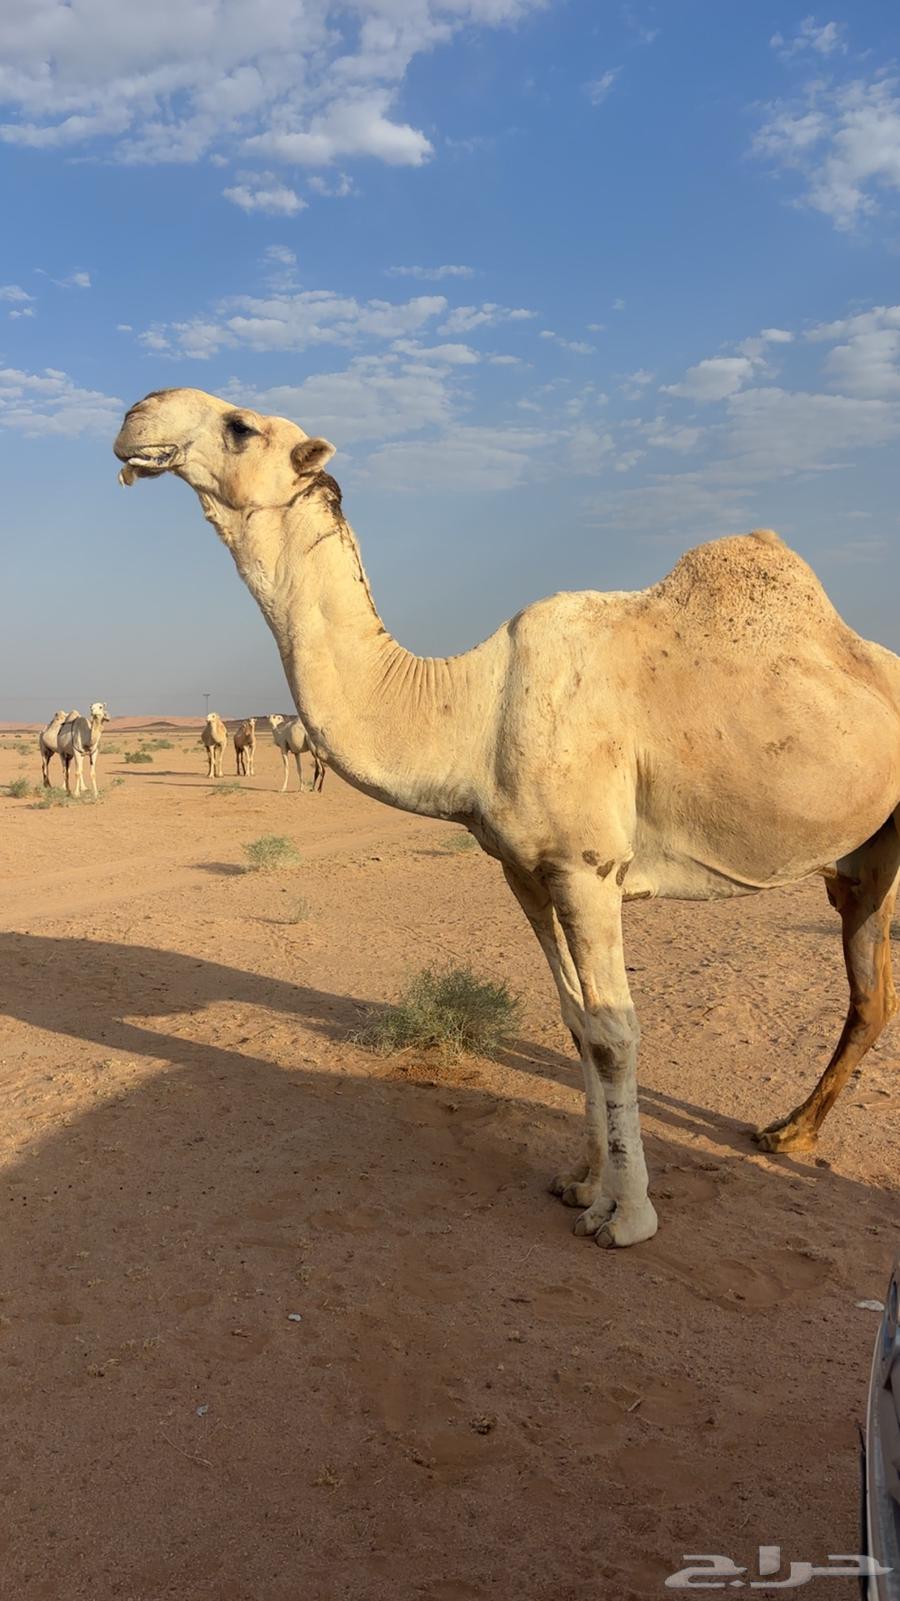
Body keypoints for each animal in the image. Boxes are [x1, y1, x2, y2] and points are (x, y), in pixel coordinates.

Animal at [115, 387, 900, 1249]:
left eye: (241, 427)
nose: (138, 411)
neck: (471, 708)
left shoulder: (589, 868)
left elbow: (615, 1032)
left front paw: (627, 1216)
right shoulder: (525, 869)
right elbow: (575, 1022)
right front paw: (582, 1180)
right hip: (860, 857)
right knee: (871, 992)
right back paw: (788, 1131)